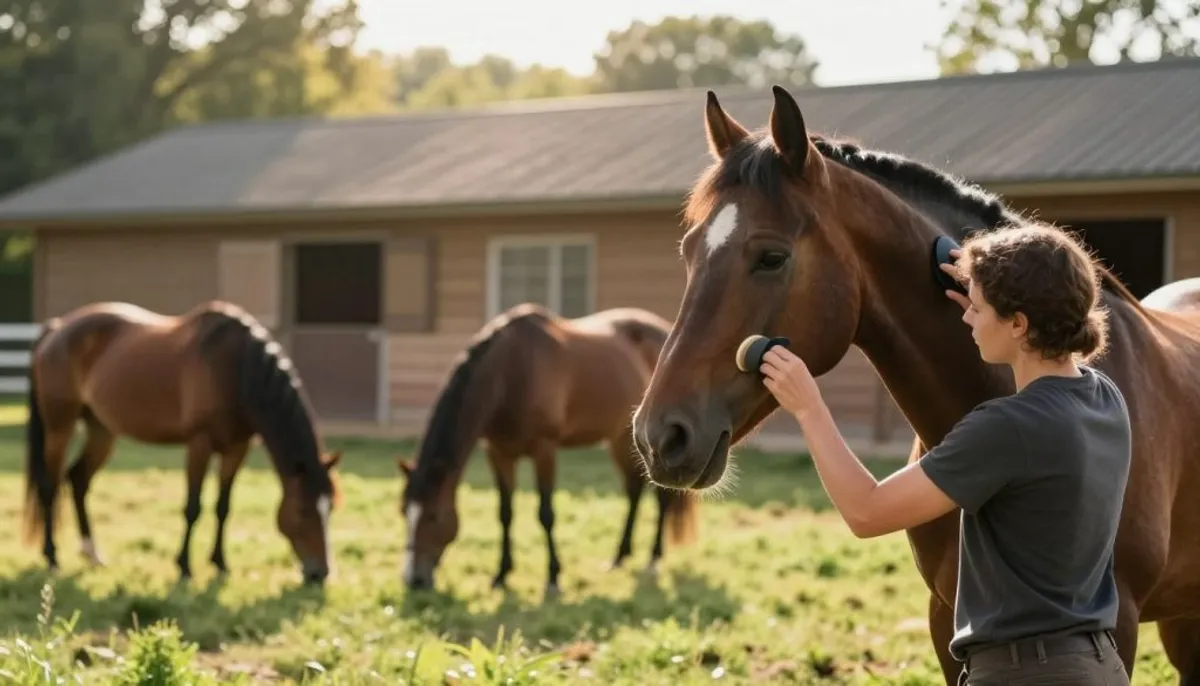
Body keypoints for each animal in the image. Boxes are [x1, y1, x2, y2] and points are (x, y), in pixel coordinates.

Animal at [21, 300, 342, 586]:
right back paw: (52, 558)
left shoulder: (237, 448)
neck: (236, 370)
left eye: (331, 508)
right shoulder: (200, 444)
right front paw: (185, 568)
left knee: (78, 479)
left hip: (101, 430)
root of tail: (57, 328)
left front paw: (220, 564)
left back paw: (93, 554)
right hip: (59, 427)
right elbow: (193, 507)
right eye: (302, 510)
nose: (320, 574)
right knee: (50, 485)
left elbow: (223, 507)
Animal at [397, 302, 700, 597]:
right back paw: (619, 557)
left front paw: (553, 579)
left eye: (433, 516)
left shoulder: (544, 450)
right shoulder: (498, 453)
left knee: (662, 498)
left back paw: (653, 559)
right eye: (403, 512)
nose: (414, 579)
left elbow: (546, 514)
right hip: (620, 438)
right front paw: (501, 575)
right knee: (634, 491)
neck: (509, 372)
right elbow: (504, 513)